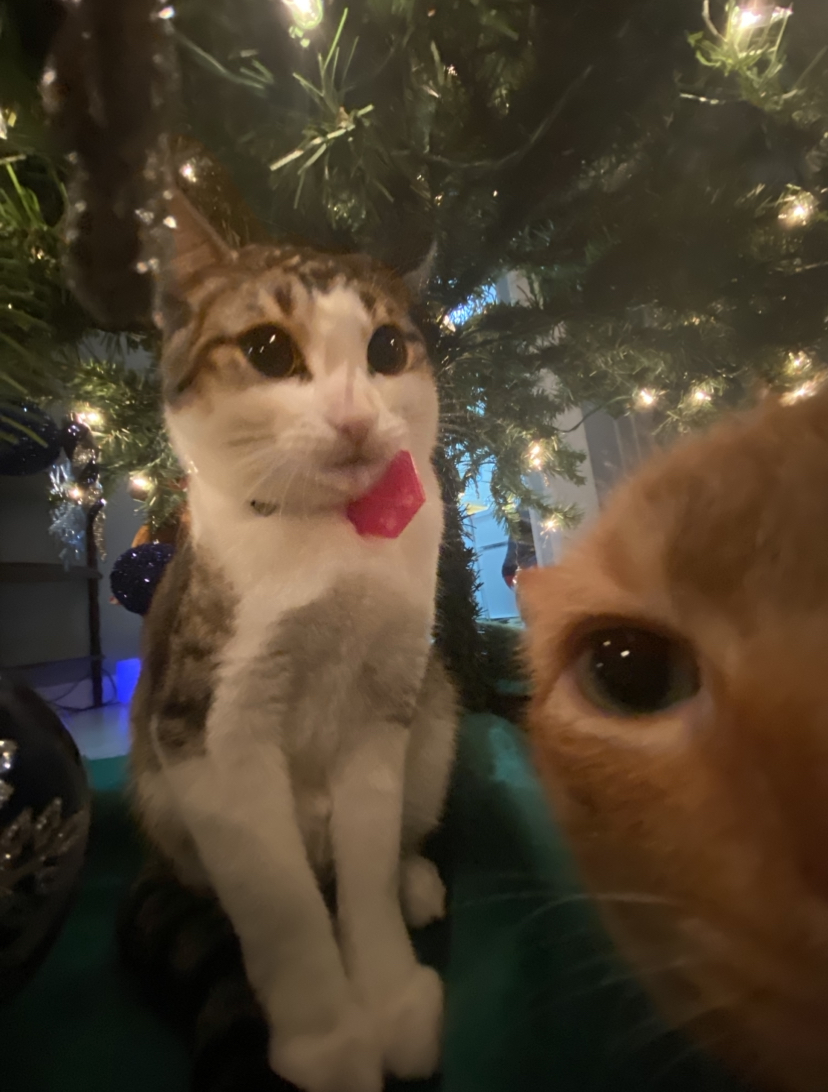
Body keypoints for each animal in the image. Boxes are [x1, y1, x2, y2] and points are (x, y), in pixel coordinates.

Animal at [128, 190, 458, 1092]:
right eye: (268, 351)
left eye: (387, 349)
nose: (352, 418)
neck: (332, 540)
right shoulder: (212, 736)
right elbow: (282, 909)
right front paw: (329, 1038)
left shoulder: (384, 706)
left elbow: (367, 872)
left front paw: (390, 999)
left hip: (436, 713)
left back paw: (418, 882)